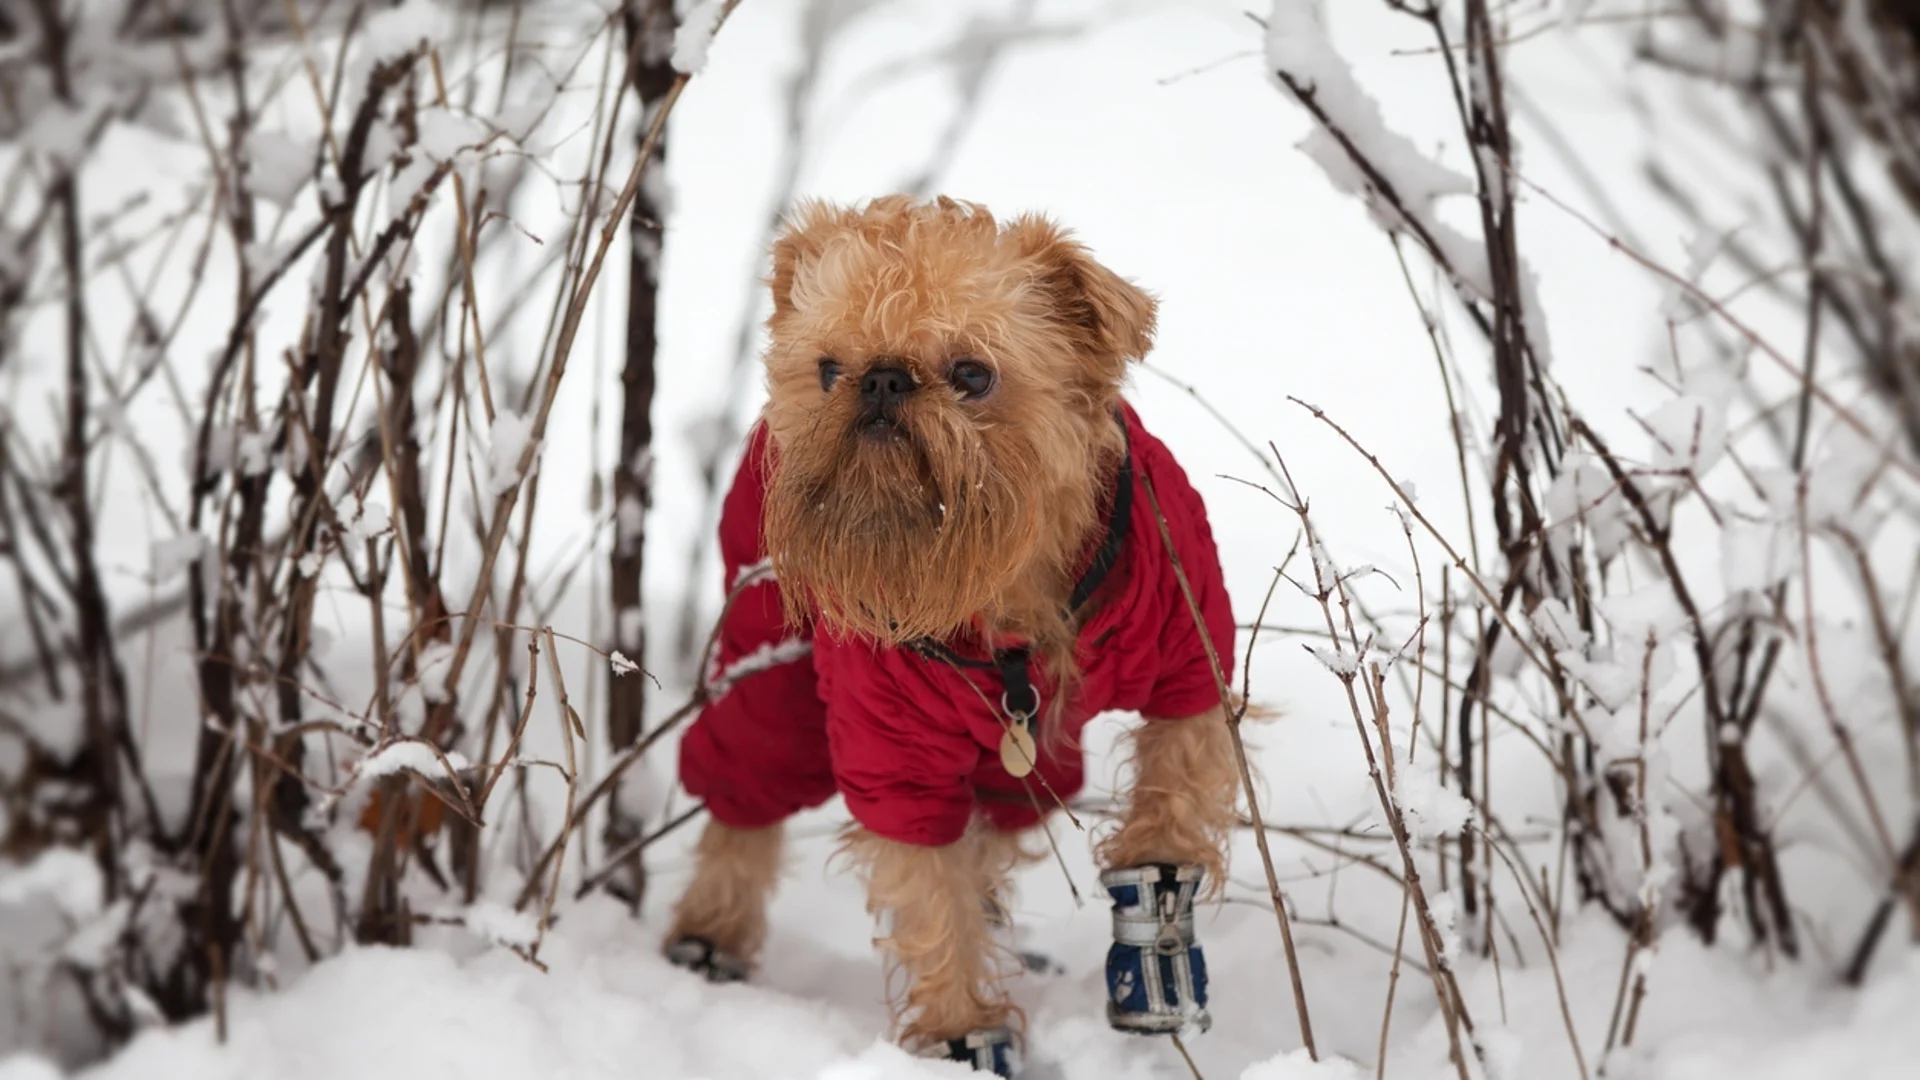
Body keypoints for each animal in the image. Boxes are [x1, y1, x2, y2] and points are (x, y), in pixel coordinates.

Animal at [668, 195, 1244, 1068]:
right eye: (828, 370)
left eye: (973, 376)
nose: (880, 378)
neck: (1002, 603)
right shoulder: (898, 762)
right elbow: (935, 899)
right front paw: (963, 1033)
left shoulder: (1187, 654)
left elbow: (1172, 799)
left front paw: (1155, 960)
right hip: (768, 669)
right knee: (744, 786)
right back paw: (710, 936)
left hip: (1028, 763)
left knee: (998, 826)